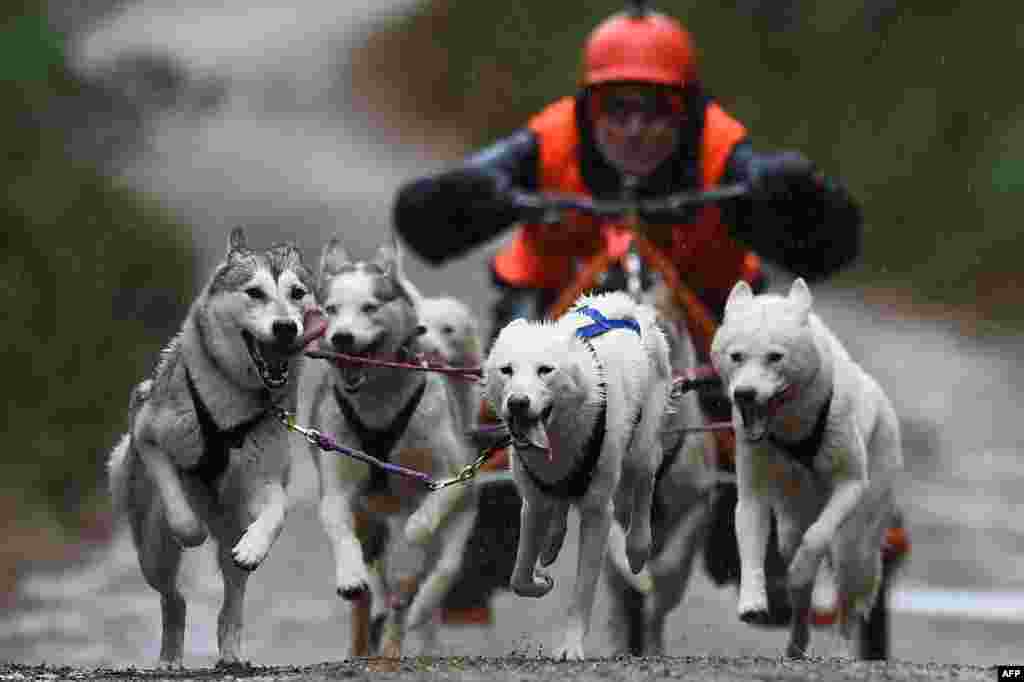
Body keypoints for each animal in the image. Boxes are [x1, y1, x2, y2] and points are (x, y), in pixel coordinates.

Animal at [105, 225, 321, 659]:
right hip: (152, 552)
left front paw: (255, 546)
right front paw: (191, 530)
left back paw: (231, 651)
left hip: (231, 529)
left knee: (231, 602)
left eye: (297, 293)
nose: (286, 327)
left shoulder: (262, 477)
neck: (233, 404)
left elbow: (278, 510)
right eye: (255, 292)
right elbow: (176, 499)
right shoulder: (151, 435)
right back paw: (170, 657)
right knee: (173, 598)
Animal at [296, 236, 479, 655]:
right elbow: (337, 522)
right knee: (373, 596)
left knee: (423, 583)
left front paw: (414, 533)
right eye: (331, 309)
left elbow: (424, 519)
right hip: (370, 522)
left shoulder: (451, 476)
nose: (341, 337)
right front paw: (350, 574)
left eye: (369, 306)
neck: (378, 405)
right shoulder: (338, 483)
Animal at [485, 290, 671, 659]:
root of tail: (621, 306)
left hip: (641, 446)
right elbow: (519, 576)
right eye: (506, 370)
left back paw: (637, 546)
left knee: (645, 479)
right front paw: (539, 580)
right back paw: (553, 540)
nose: (517, 402)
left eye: (545, 370)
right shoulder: (533, 502)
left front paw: (570, 646)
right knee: (560, 505)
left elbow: (583, 589)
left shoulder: (598, 512)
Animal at [708, 278, 901, 655]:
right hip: (788, 528)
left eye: (775, 356)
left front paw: (801, 568)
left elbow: (815, 539)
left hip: (854, 546)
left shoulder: (850, 484)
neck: (793, 431)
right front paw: (752, 601)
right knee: (800, 594)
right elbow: (750, 547)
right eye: (736, 356)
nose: (744, 394)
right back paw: (796, 643)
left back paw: (842, 651)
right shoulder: (751, 494)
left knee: (848, 610)